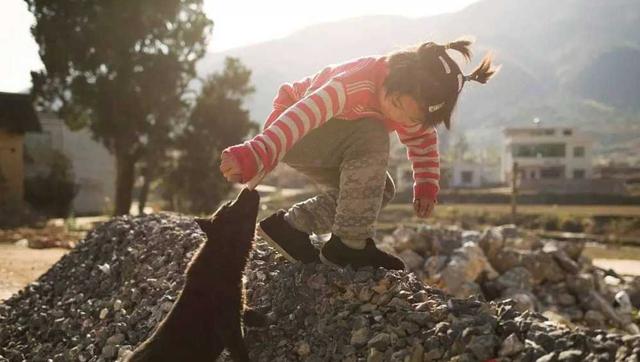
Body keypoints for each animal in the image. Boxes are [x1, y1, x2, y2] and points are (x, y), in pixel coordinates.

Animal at [127, 188, 260, 360]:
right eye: (229, 206)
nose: (245, 188)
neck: (222, 257)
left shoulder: (237, 304)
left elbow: (246, 310)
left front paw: (259, 318)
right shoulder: (228, 326)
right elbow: (240, 351)